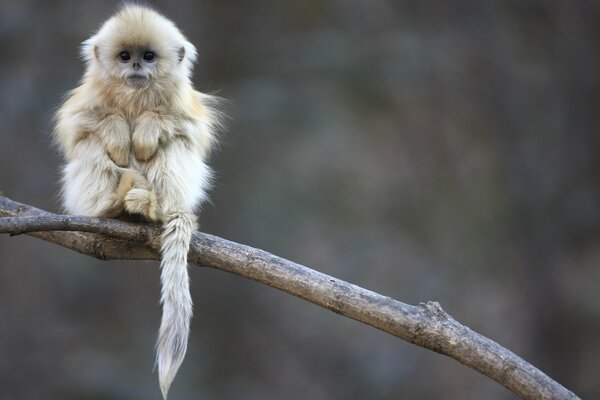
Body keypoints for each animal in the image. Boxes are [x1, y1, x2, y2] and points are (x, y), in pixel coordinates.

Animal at [53, 4, 223, 398]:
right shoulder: (86, 100)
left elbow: (187, 128)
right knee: (90, 145)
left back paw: (151, 207)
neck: (134, 96)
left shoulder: (184, 104)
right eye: (124, 56)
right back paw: (113, 205)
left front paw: (146, 130)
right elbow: (79, 126)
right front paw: (118, 132)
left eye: (148, 56)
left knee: (175, 144)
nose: (135, 67)